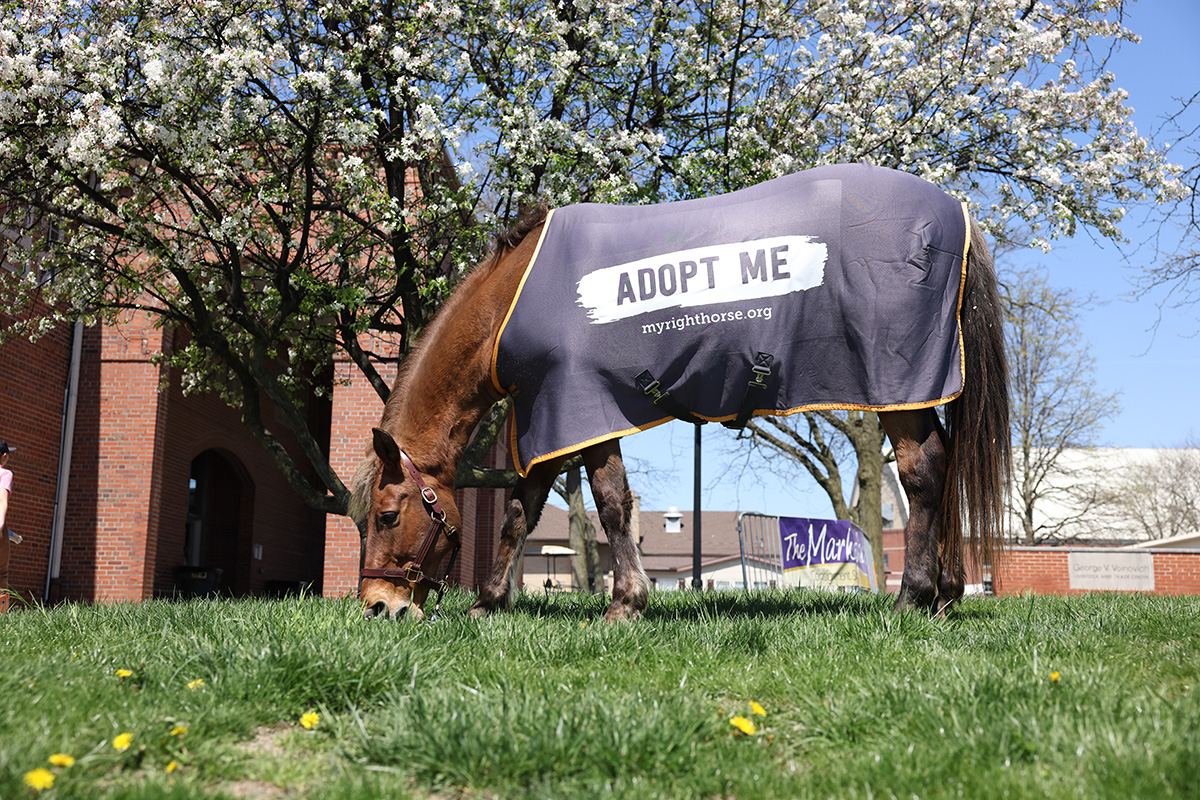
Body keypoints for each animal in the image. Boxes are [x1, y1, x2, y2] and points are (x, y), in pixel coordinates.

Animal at [350, 165, 1008, 623]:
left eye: (387, 515)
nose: (379, 605)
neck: (510, 304)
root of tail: (954, 208)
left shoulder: (583, 406)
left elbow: (611, 503)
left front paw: (625, 604)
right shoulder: (549, 419)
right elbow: (519, 509)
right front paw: (489, 603)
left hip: (898, 386)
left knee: (923, 473)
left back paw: (912, 598)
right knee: (944, 467)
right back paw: (946, 595)